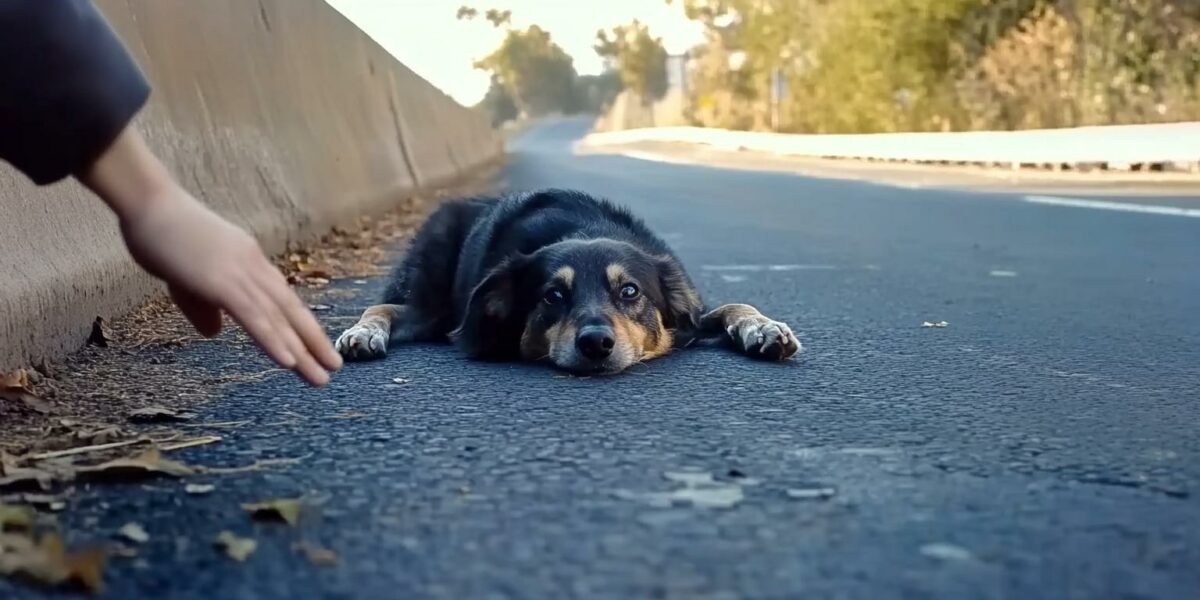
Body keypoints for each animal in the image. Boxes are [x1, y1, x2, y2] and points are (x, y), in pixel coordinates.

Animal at [333, 188, 801, 374]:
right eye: (552, 296)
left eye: (629, 291)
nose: (595, 344)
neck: (583, 229)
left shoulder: (690, 314)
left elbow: (733, 306)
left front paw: (763, 328)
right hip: (430, 297)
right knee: (384, 305)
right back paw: (362, 333)